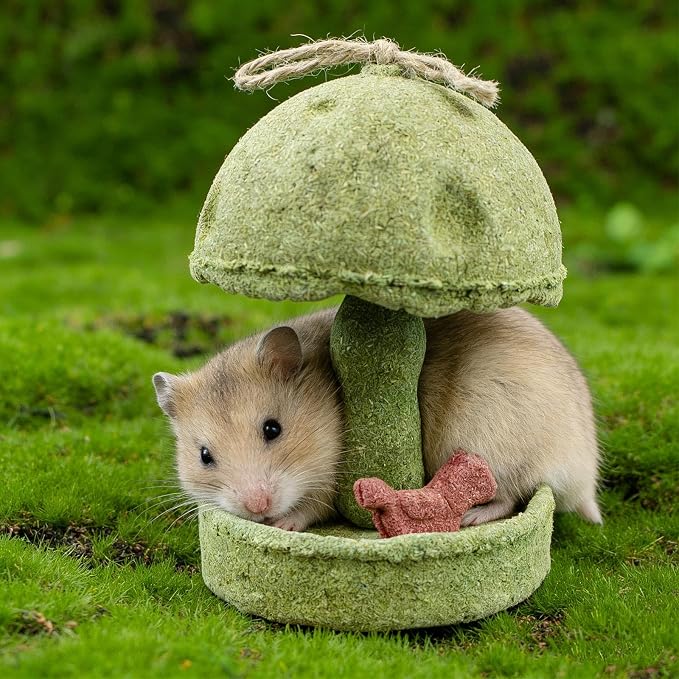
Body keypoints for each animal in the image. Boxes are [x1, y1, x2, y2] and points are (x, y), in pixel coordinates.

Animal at [153, 306, 602, 532]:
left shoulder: (330, 482)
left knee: (511, 495)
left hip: (490, 443)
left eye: (273, 429)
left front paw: (283, 525)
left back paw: (472, 517)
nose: (258, 507)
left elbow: (312, 509)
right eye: (204, 456)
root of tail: (584, 477)